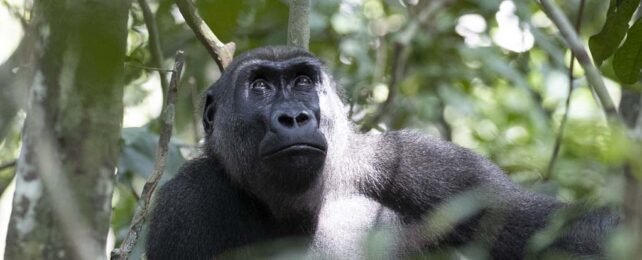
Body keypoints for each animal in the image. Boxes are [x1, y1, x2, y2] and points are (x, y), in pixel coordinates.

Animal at [145, 45, 616, 258]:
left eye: (303, 82)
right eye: (259, 87)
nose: (295, 117)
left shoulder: (421, 166)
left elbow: (560, 233)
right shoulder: (185, 203)